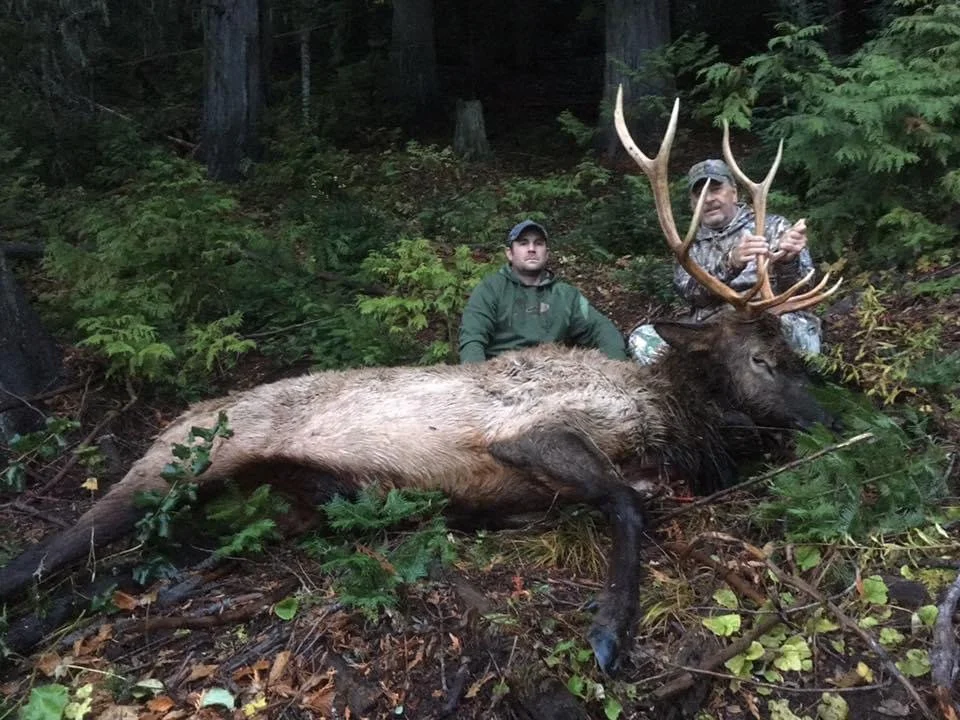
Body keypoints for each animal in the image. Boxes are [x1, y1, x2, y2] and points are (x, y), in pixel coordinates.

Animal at [0, 90, 840, 674]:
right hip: (180, 462)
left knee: (124, 571)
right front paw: (607, 635)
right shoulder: (533, 433)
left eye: (795, 354)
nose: (833, 414)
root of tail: (182, 416)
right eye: (761, 359)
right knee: (42, 553)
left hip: (246, 508)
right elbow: (629, 504)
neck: (666, 418)